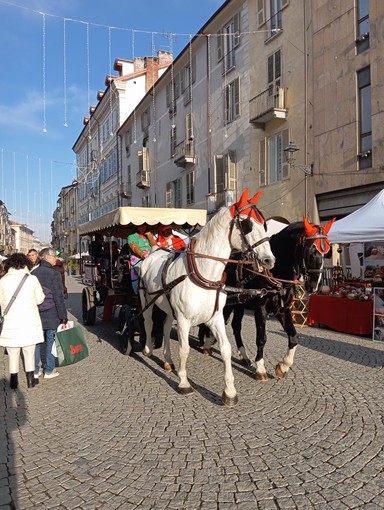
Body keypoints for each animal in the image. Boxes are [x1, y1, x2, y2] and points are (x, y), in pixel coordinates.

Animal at [140, 188, 274, 406]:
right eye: (248, 225)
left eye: (265, 224)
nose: (269, 260)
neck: (202, 273)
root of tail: (153, 252)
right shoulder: (184, 320)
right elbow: (184, 350)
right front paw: (184, 382)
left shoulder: (215, 317)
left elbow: (226, 349)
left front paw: (229, 391)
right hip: (146, 300)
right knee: (148, 322)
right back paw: (148, 349)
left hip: (168, 307)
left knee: (166, 327)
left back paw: (168, 361)